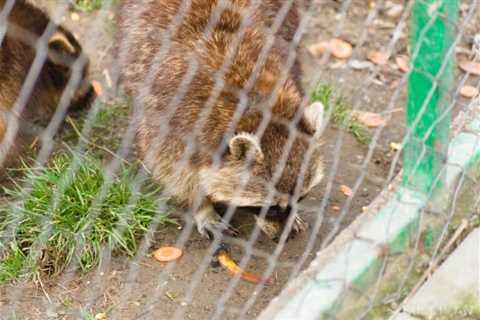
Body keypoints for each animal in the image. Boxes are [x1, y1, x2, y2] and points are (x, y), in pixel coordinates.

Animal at [117, 0, 324, 240]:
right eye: (270, 208)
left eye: (301, 198)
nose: (283, 237)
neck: (258, 105)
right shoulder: (173, 118)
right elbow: (173, 169)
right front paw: (202, 208)